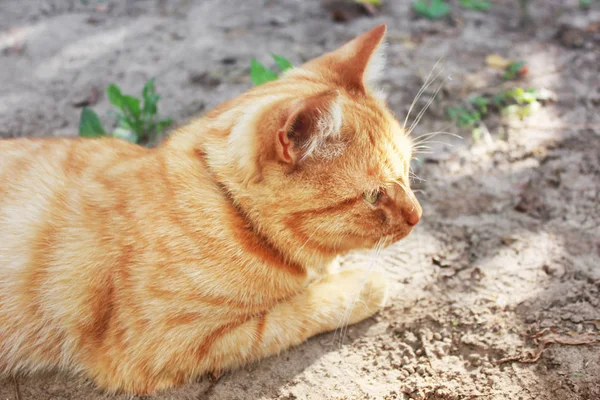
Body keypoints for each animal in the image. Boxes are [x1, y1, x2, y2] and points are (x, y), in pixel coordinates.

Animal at [0, 25, 422, 394]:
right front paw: (358, 284)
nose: (418, 217)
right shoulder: (165, 346)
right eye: (373, 196)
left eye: (407, 169)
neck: (228, 207)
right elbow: (296, 313)